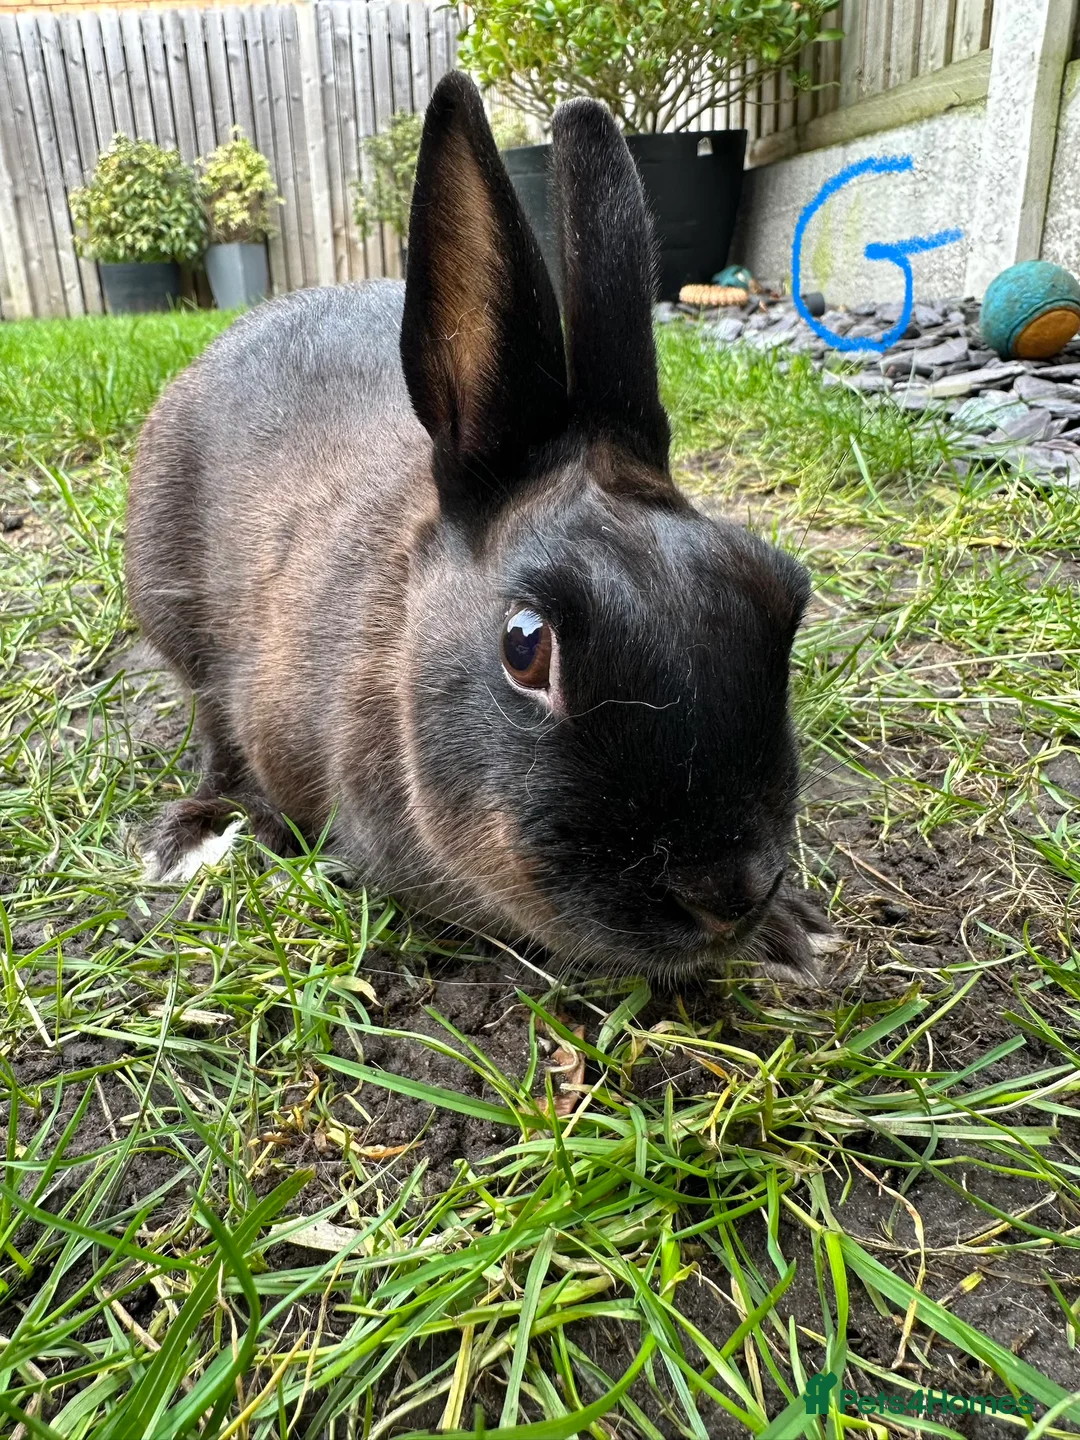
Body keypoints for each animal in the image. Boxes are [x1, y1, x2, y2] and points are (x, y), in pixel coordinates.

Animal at [125, 70, 833, 982]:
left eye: (783, 599)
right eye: (525, 646)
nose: (728, 893)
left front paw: (793, 930)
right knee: (210, 722)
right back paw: (198, 834)